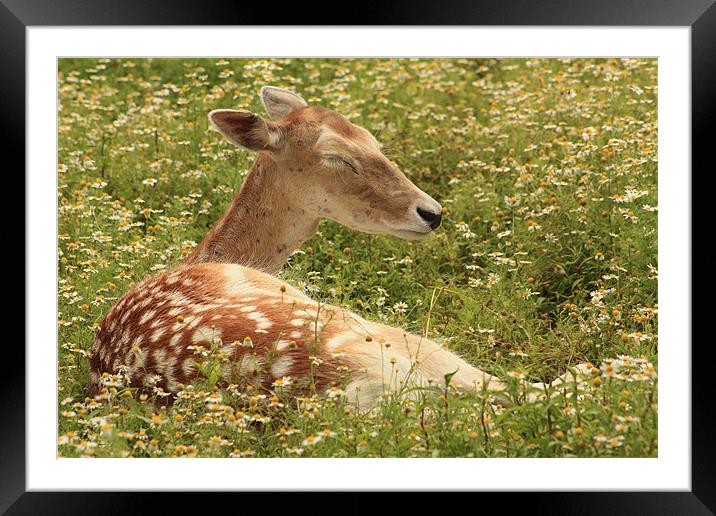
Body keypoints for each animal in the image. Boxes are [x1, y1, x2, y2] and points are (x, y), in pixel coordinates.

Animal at [89, 86, 592, 410]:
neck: (217, 257)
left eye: (372, 139)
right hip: (371, 330)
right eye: (336, 158)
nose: (431, 212)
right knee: (517, 388)